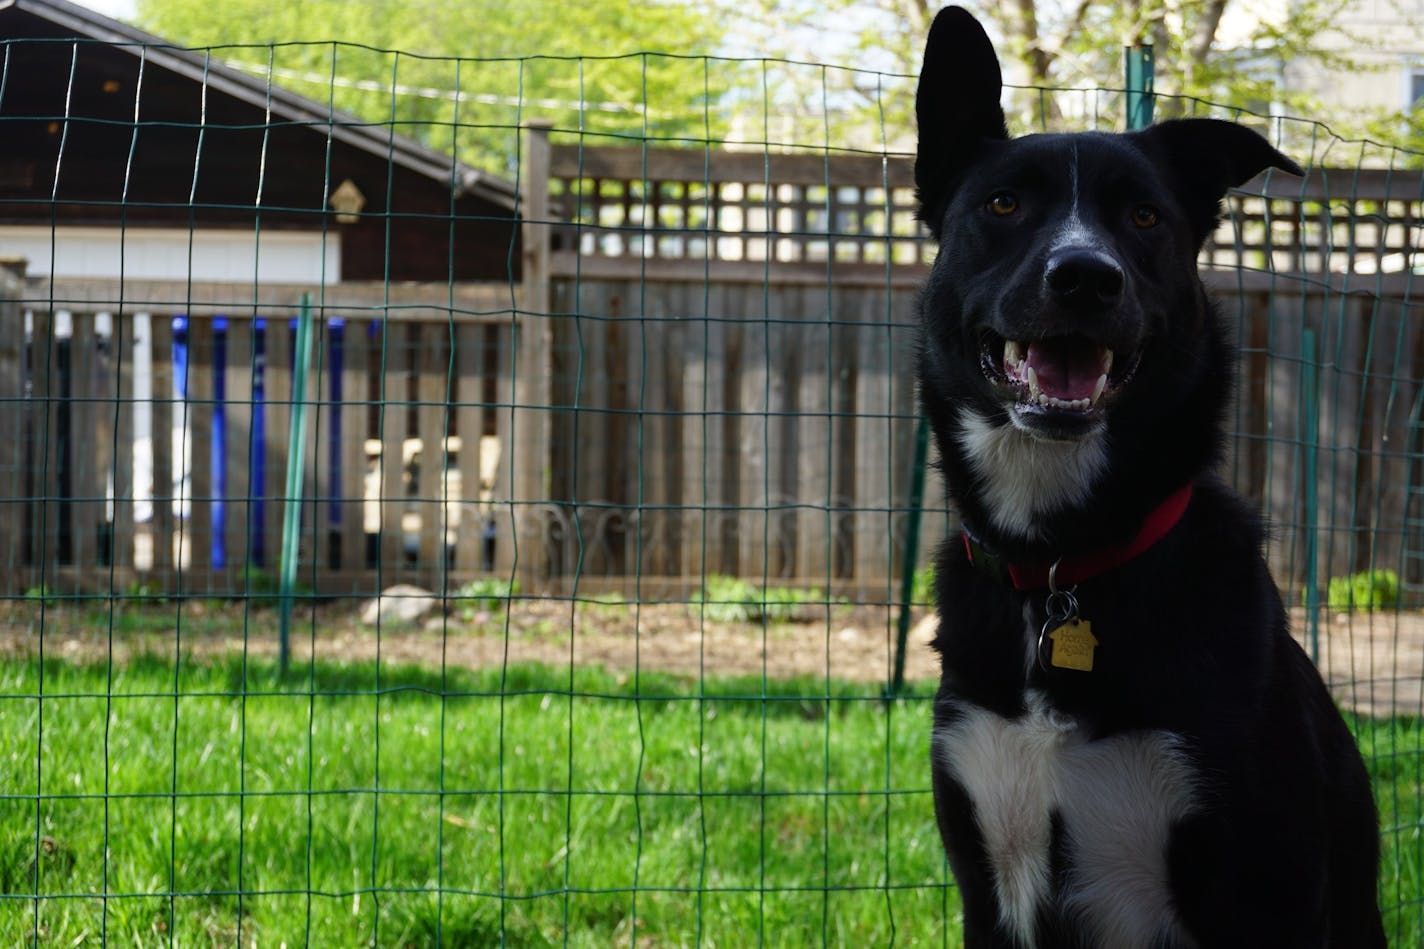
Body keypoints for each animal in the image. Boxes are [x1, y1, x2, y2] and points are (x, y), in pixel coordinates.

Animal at [917, 7, 1384, 946]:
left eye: (1142, 216)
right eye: (1003, 203)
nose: (1084, 277)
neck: (1062, 562)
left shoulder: (1264, 885)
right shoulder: (986, 878)